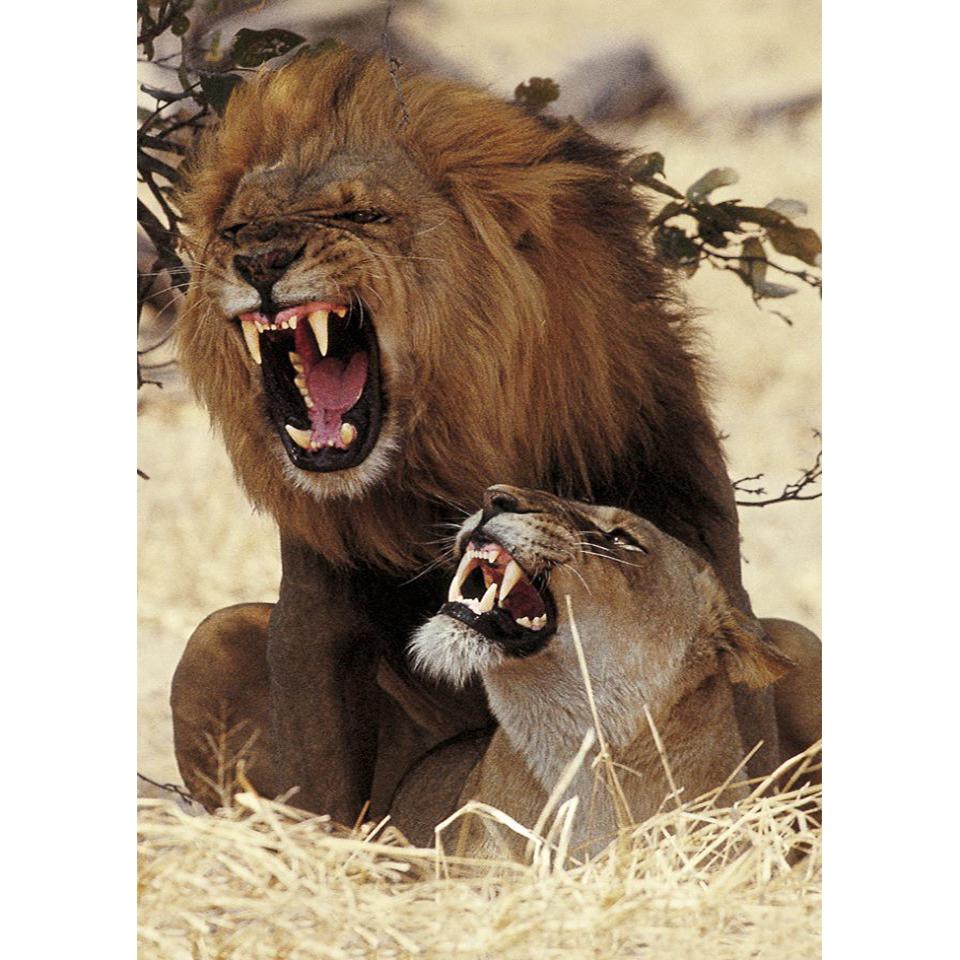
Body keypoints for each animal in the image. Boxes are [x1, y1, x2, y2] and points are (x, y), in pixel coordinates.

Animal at [172, 48, 784, 821]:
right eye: (237, 229)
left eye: (362, 215)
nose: (259, 261)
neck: (448, 447)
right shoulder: (314, 614)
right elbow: (322, 780)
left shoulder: (701, 547)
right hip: (211, 641)